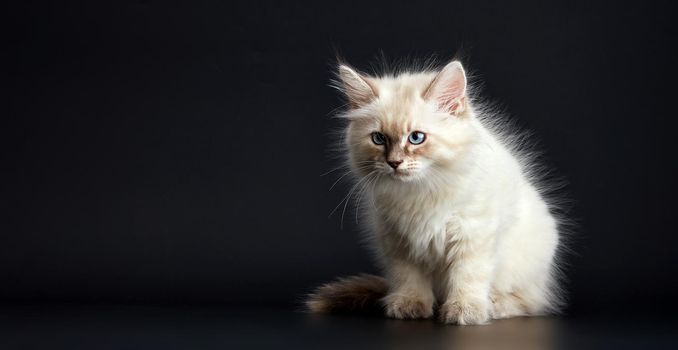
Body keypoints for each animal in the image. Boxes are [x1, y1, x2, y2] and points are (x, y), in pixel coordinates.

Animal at [310, 58, 564, 324]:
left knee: (529, 302)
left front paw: (464, 310)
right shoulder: (400, 241)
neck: (420, 191)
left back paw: (494, 305)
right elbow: (408, 277)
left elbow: (468, 276)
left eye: (416, 138)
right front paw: (410, 304)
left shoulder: (473, 235)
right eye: (379, 139)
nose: (394, 162)